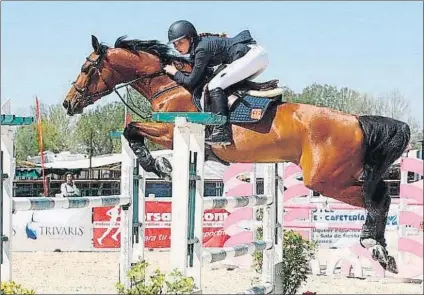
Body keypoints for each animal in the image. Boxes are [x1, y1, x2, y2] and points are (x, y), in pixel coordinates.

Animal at [63, 34, 410, 272]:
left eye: (86, 68)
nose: (68, 103)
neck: (171, 85)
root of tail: (356, 120)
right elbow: (131, 129)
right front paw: (156, 164)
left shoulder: (172, 132)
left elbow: (133, 129)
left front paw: (156, 165)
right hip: (336, 176)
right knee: (380, 194)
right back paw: (382, 251)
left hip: (325, 180)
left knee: (378, 198)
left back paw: (374, 245)